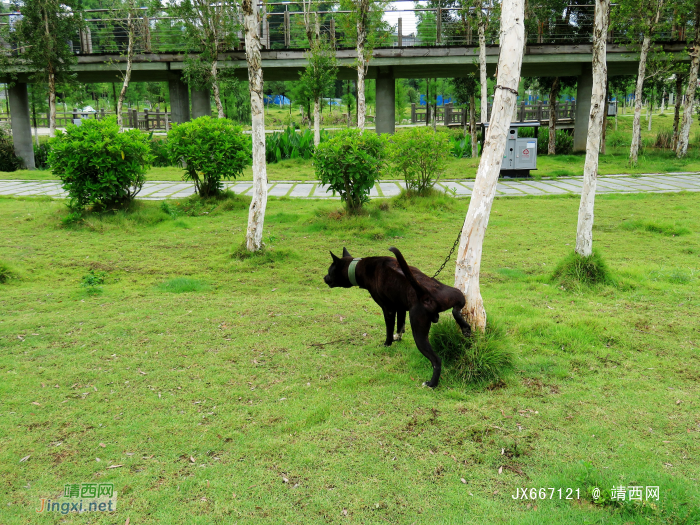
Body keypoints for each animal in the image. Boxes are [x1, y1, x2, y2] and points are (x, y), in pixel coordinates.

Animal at [322, 245, 470, 384]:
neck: (359, 267)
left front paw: (387, 343)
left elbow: (389, 329)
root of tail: (425, 292)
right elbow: (400, 324)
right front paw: (398, 337)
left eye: (329, 271)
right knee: (456, 311)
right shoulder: (400, 307)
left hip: (419, 331)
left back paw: (431, 383)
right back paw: (465, 329)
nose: (324, 277)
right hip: (456, 295)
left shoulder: (388, 309)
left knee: (436, 360)